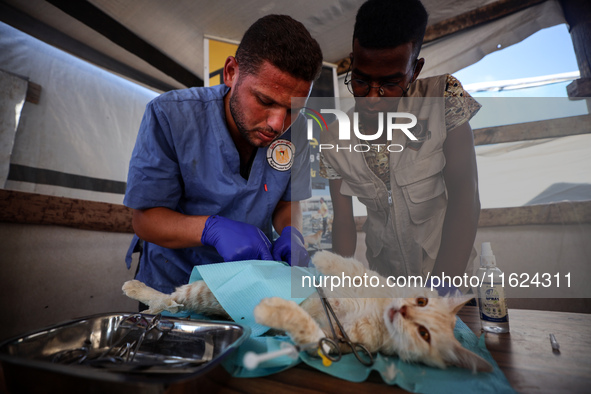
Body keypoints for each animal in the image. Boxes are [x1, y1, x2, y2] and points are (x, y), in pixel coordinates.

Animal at [123, 249, 494, 372]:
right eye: (421, 302)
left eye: (424, 333)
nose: (401, 311)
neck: (376, 313)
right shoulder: (360, 275)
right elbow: (342, 263)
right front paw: (314, 257)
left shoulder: (332, 341)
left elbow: (306, 329)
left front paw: (272, 310)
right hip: (201, 289)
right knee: (169, 296)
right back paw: (137, 290)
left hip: (201, 297)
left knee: (171, 301)